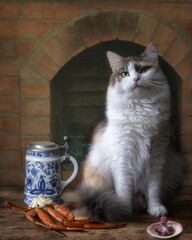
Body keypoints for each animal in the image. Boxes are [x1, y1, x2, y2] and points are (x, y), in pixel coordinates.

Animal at [63, 42, 183, 223]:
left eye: (143, 70)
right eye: (125, 74)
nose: (136, 79)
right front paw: (124, 209)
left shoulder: (157, 157)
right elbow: (124, 189)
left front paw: (155, 208)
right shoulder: (123, 157)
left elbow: (153, 189)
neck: (141, 108)